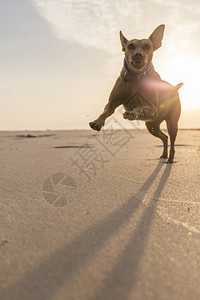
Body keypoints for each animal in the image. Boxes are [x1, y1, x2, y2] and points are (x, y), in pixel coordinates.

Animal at [89, 24, 183, 163]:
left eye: (147, 46)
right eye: (130, 46)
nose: (138, 54)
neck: (135, 77)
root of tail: (173, 88)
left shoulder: (152, 109)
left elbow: (140, 107)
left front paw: (132, 113)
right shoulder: (112, 102)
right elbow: (105, 111)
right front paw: (98, 122)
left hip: (171, 122)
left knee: (171, 140)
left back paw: (170, 159)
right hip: (152, 125)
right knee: (164, 137)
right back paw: (164, 155)